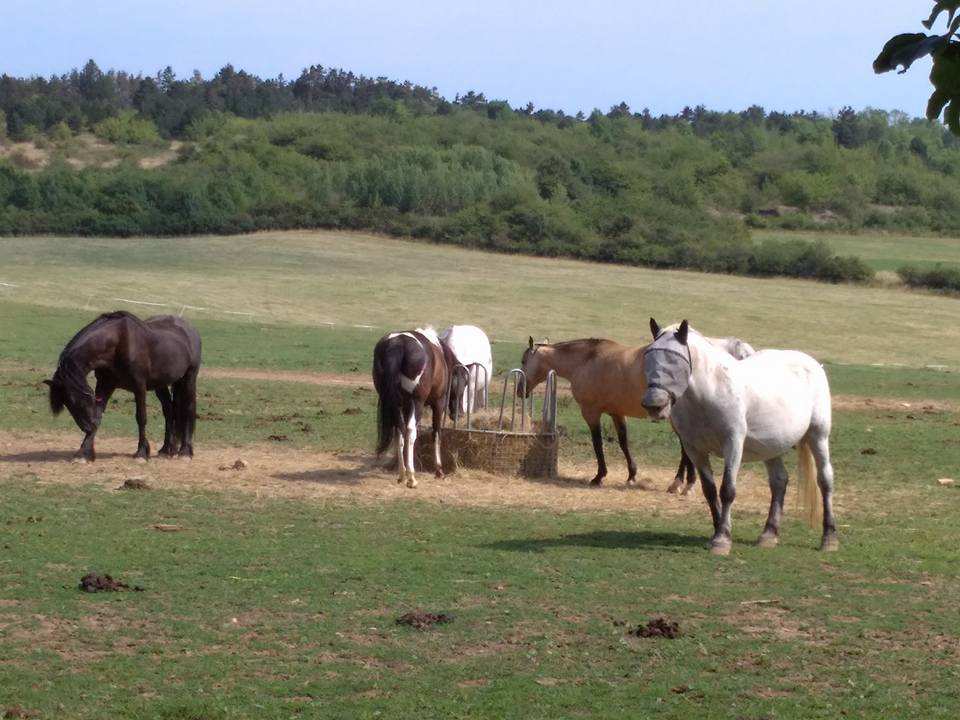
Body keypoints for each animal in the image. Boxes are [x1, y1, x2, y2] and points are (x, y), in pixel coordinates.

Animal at [46, 314, 202, 462]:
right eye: (67, 404)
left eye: (76, 401)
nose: (88, 427)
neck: (118, 342)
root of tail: (189, 330)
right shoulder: (105, 385)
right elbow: (99, 413)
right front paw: (83, 454)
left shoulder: (139, 386)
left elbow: (141, 418)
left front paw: (141, 453)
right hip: (161, 384)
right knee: (169, 411)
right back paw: (167, 449)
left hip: (189, 379)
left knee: (188, 408)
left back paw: (185, 452)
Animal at [372, 328, 454, 490]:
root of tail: (397, 343)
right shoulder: (438, 403)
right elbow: (436, 433)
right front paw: (439, 470)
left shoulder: (404, 406)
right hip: (417, 403)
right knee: (410, 431)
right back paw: (411, 477)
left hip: (396, 404)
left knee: (399, 431)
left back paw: (402, 474)